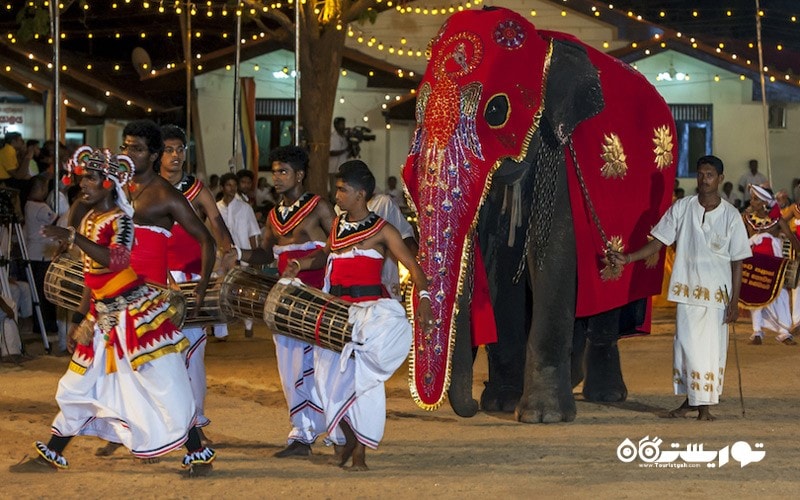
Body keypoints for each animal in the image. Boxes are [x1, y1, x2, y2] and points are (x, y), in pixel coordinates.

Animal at [404, 7, 680, 422]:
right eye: (417, 110)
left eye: (497, 110)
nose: (469, 408)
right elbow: (502, 270)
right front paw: (501, 403)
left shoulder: (559, 161)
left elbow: (552, 256)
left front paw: (543, 416)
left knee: (607, 304)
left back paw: (606, 394)